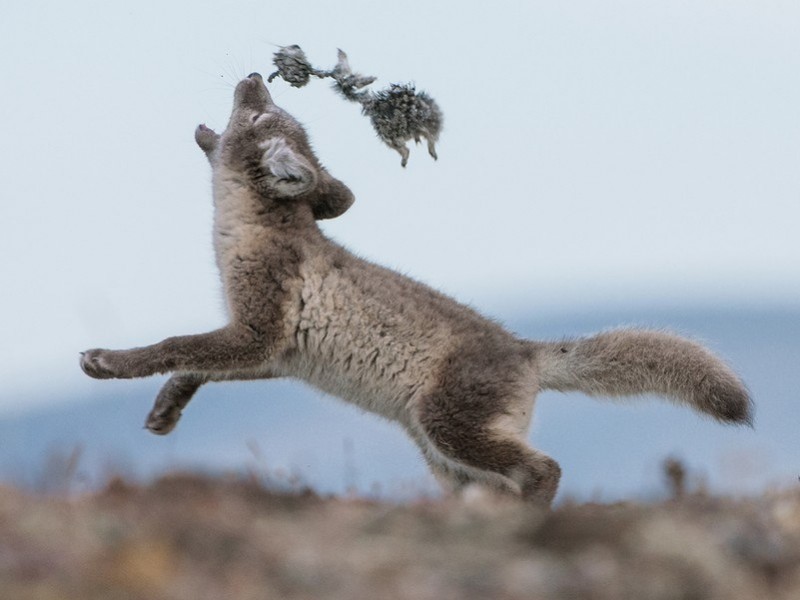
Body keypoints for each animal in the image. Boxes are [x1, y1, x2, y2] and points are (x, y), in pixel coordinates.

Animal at [79, 75, 752, 506]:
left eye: (260, 115)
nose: (252, 75)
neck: (252, 229)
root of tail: (527, 350)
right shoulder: (271, 355)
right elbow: (194, 367)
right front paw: (166, 409)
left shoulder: (256, 331)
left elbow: (172, 345)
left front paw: (108, 362)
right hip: (446, 460)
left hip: (446, 429)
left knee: (546, 469)